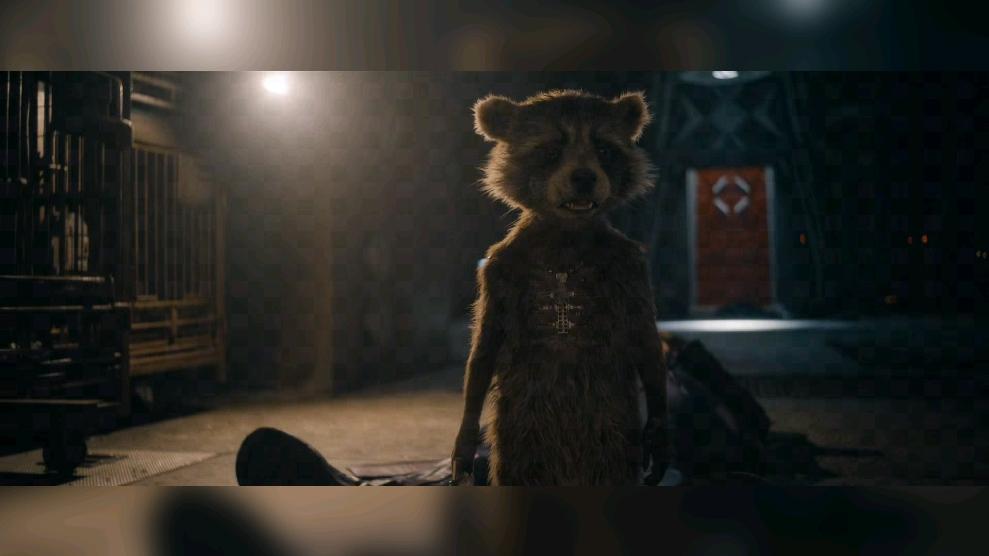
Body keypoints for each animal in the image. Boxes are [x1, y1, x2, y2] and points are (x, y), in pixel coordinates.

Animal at [450, 89, 669, 486]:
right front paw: (466, 439)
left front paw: (659, 434)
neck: (567, 234)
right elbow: (485, 345)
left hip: (610, 427)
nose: (583, 177)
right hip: (521, 432)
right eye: (551, 151)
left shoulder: (631, 266)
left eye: (604, 149)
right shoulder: (500, 269)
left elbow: (646, 341)